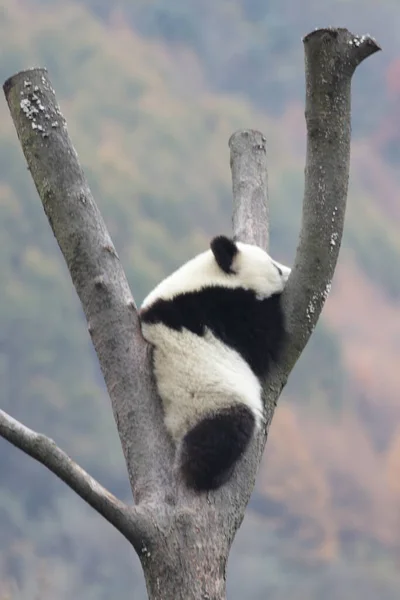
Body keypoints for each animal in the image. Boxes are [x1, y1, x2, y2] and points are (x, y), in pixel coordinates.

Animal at [139, 234, 290, 492]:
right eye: (275, 267)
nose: (289, 272)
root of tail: (176, 426)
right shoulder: (219, 309)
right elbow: (262, 340)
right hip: (211, 401)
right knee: (225, 433)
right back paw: (207, 475)